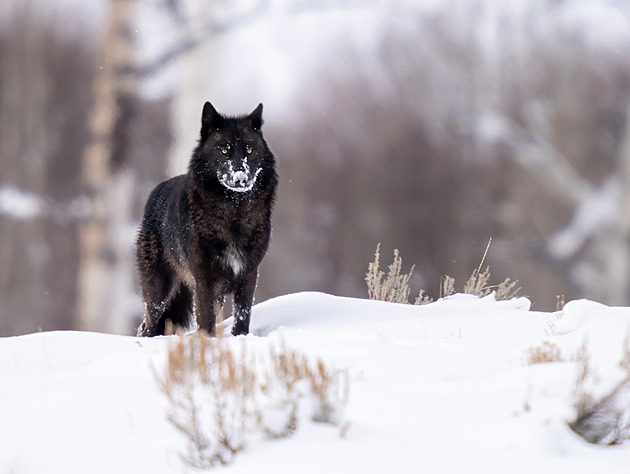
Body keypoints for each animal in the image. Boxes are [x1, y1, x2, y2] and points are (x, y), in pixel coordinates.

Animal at [137, 102, 278, 336]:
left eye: (249, 149)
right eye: (224, 150)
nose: (241, 178)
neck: (234, 215)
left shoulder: (249, 274)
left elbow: (242, 315)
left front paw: (240, 337)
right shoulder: (205, 280)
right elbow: (206, 321)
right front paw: (207, 342)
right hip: (158, 291)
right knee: (146, 325)